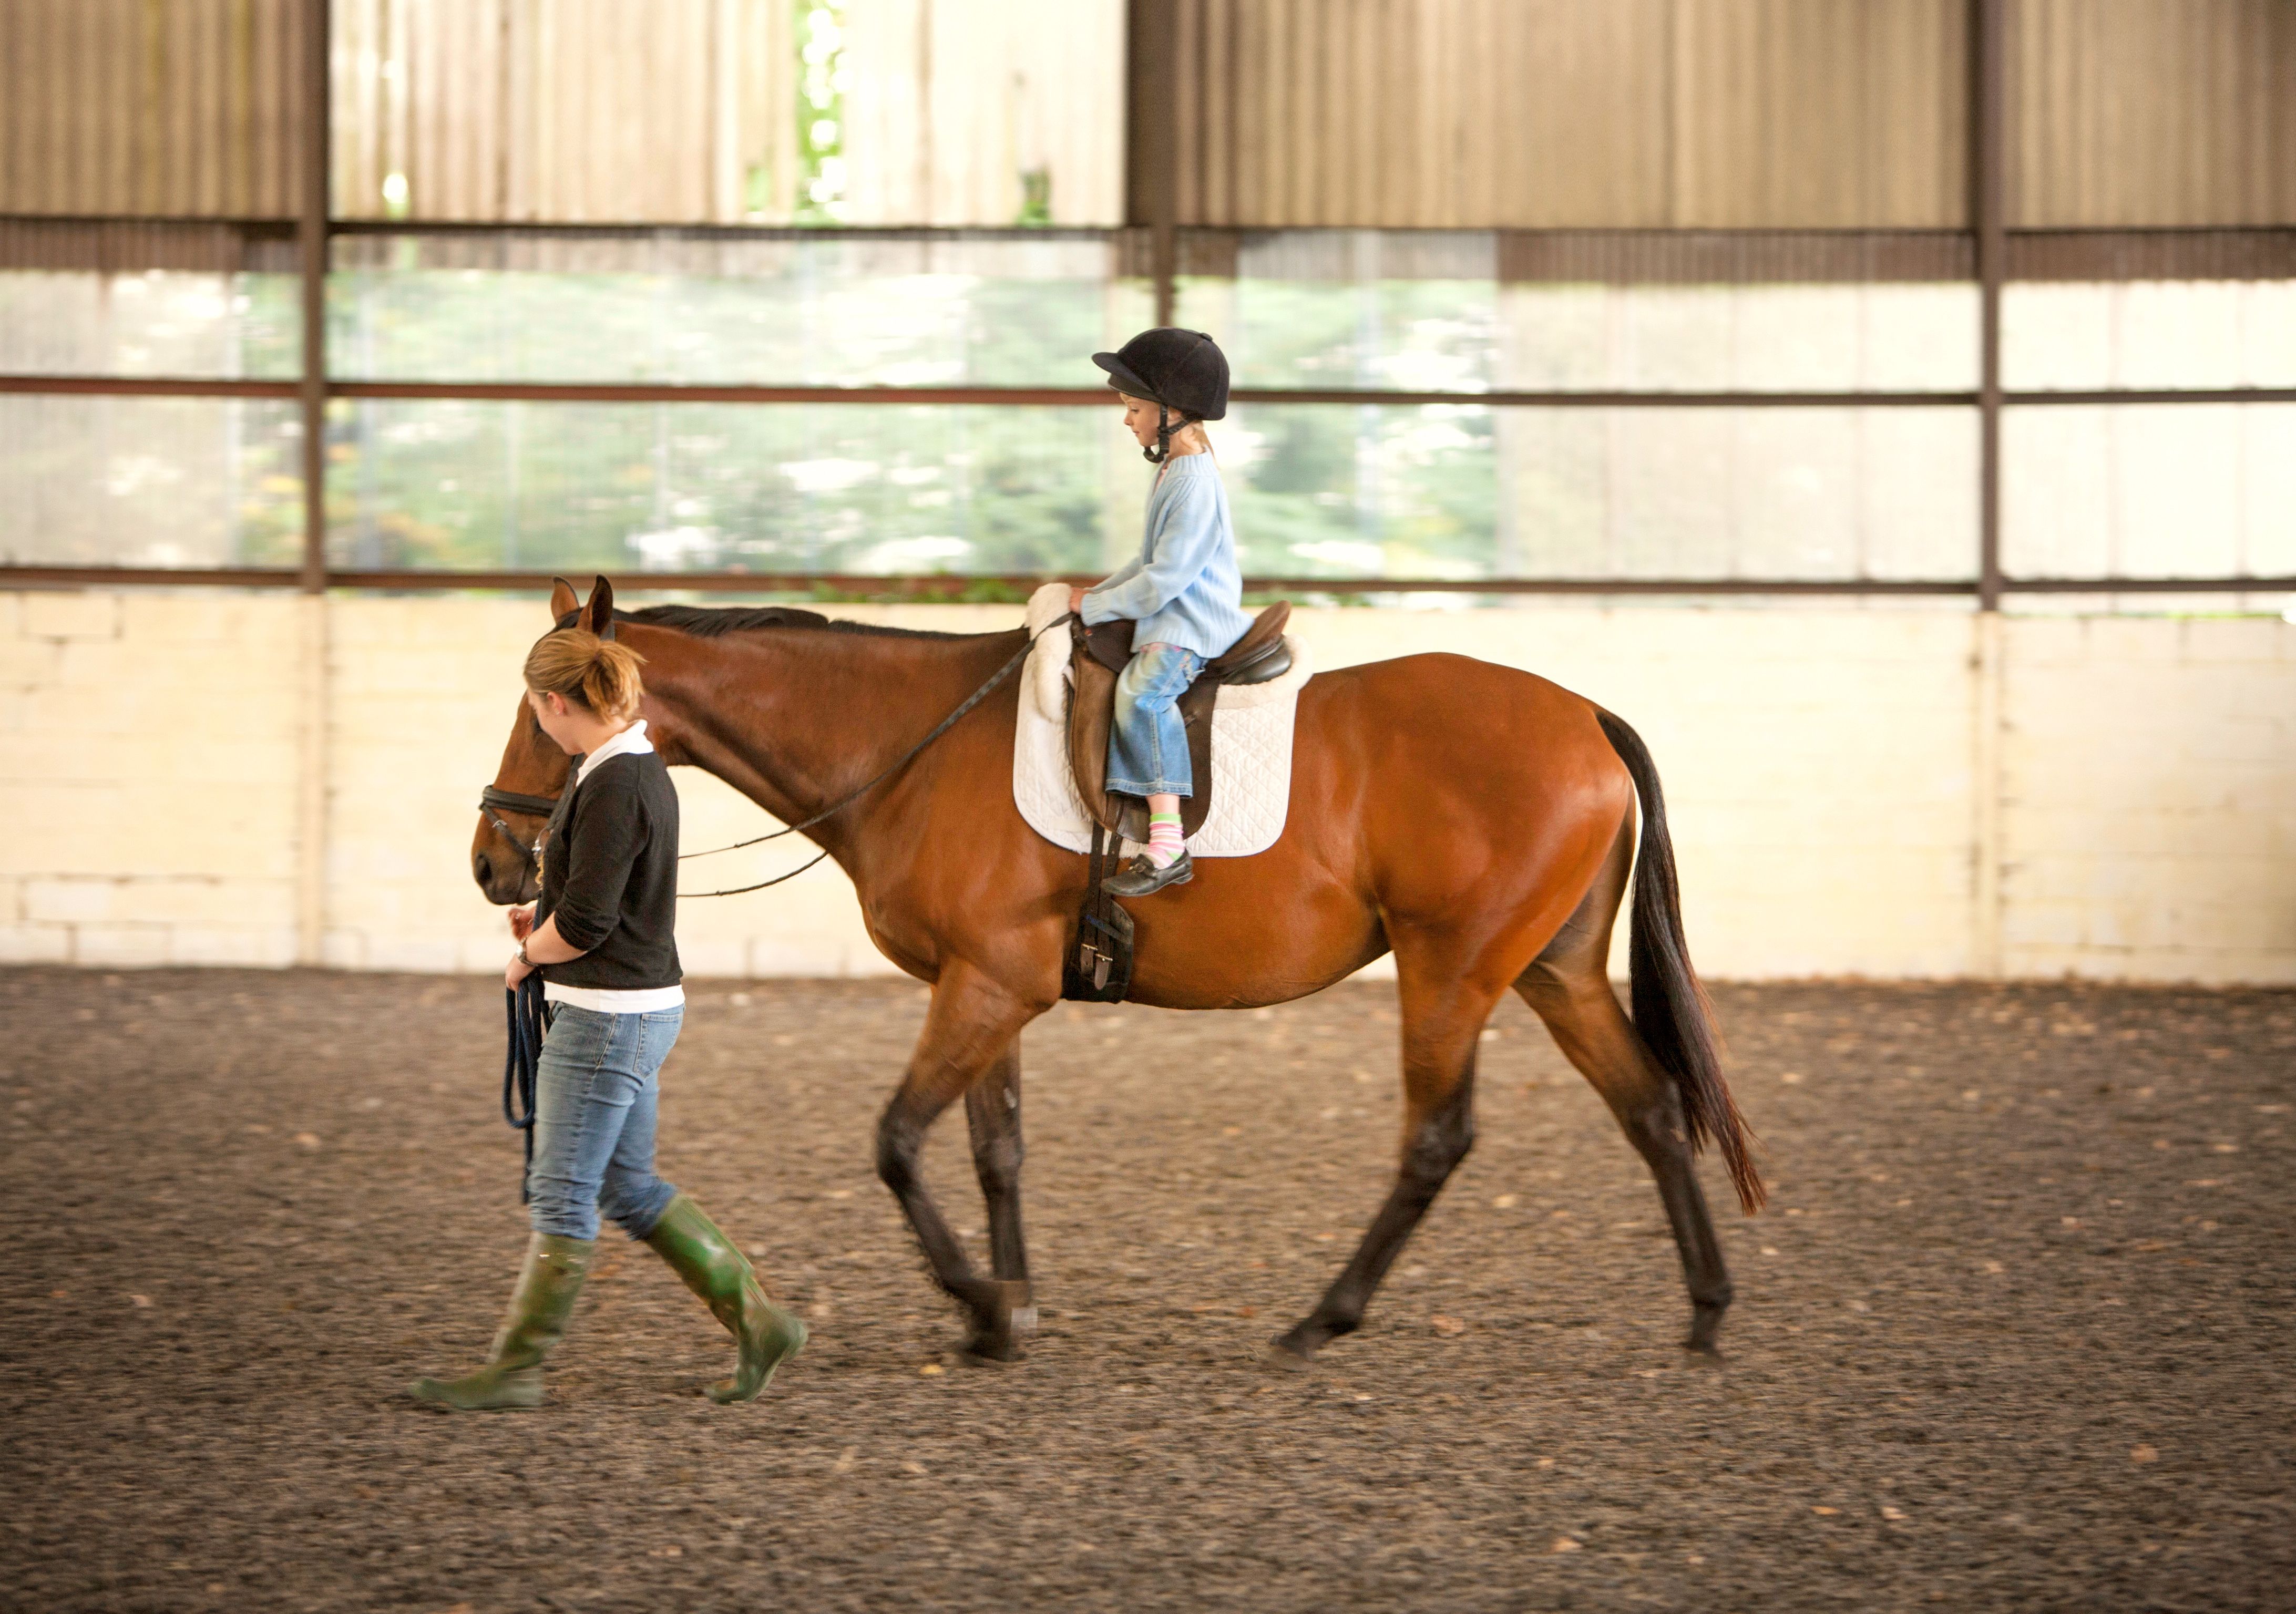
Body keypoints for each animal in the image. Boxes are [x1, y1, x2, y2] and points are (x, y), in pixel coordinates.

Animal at [474, 575, 1762, 1367]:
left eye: (543, 712)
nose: (494, 863)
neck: (909, 748)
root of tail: (1583, 715)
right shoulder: (986, 985)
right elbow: (993, 1148)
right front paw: (1010, 1312)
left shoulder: (988, 986)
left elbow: (895, 1140)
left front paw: (978, 1301)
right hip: (1551, 970)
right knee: (1650, 1105)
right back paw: (1705, 1314)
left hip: (1451, 971)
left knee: (1438, 1139)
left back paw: (1320, 1320)